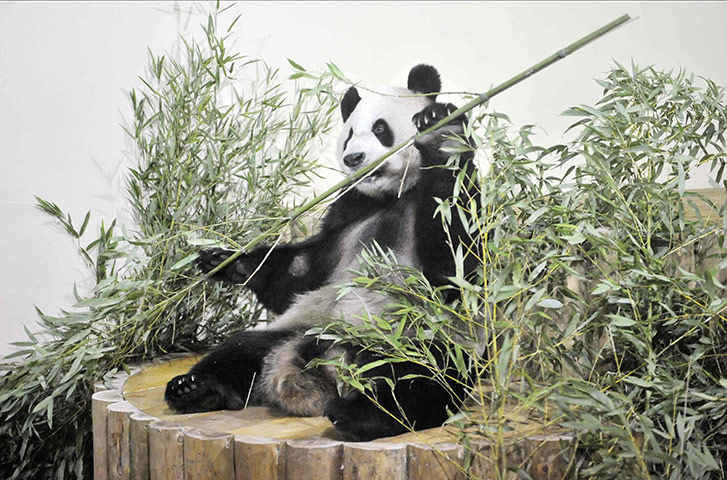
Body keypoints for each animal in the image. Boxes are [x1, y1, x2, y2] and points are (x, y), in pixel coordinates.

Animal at [165, 64, 480, 441]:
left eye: (380, 128)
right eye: (349, 134)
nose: (353, 158)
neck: (392, 195)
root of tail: (333, 358)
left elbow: (454, 260)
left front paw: (441, 134)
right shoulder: (348, 216)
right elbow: (299, 273)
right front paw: (225, 261)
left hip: (417, 338)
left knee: (420, 377)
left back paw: (361, 414)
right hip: (299, 326)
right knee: (238, 350)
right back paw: (195, 389)